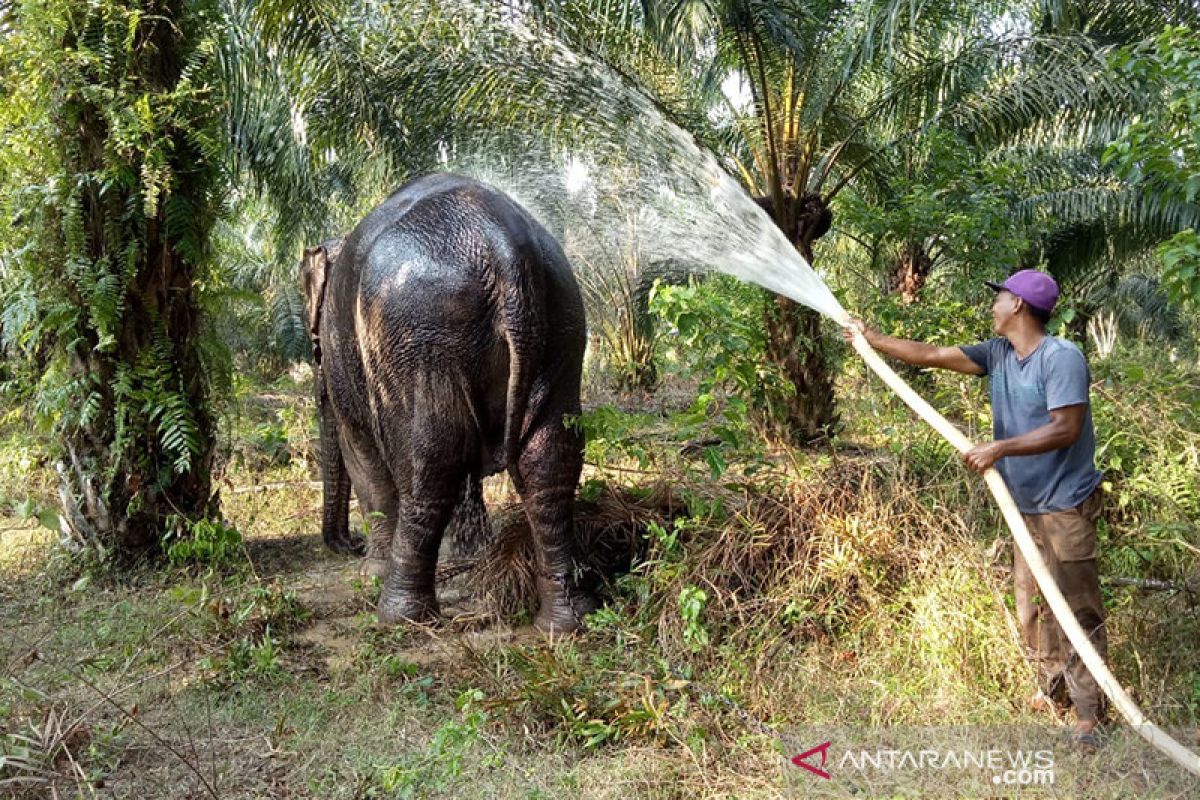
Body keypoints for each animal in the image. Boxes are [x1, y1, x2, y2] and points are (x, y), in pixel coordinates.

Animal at [302, 173, 597, 633]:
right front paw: (469, 554)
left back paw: (400, 617)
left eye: (314, 345)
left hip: (420, 334)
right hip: (562, 323)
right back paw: (566, 622)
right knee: (549, 462)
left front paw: (371, 574)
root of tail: (499, 239)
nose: (347, 544)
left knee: (429, 465)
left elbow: (362, 454)